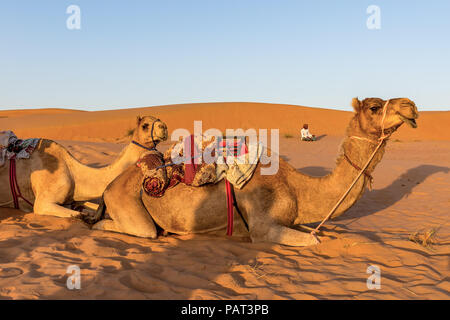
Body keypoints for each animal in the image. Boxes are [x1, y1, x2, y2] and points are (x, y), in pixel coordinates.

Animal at [0, 116, 168, 219]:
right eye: (145, 126)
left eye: (158, 120)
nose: (164, 127)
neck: (73, 174)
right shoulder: (42, 202)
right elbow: (78, 215)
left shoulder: (71, 200)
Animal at [90, 99, 418, 246]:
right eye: (374, 107)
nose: (411, 106)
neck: (297, 188)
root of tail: (110, 187)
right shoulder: (262, 226)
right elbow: (313, 240)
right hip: (129, 206)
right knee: (131, 229)